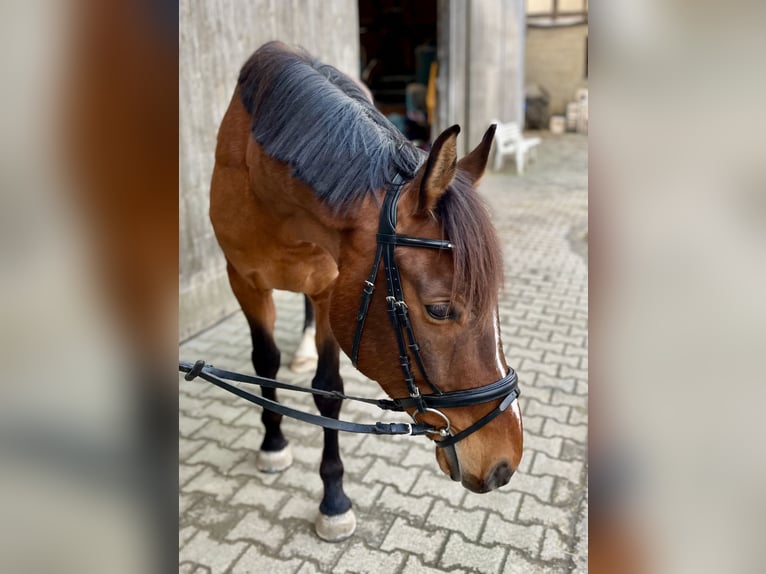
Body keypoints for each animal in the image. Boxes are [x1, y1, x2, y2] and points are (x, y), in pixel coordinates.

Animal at [208, 42, 520, 544]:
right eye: (439, 310)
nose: (505, 463)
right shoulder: (244, 281)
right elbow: (264, 362)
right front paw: (273, 443)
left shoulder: (331, 288)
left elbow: (328, 391)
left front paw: (333, 499)